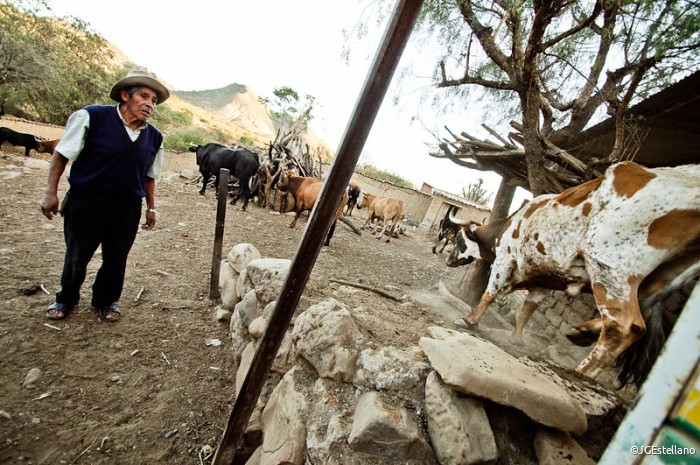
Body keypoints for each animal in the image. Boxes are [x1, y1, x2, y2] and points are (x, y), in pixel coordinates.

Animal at [446, 161, 700, 382]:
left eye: (459, 240)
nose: (448, 259)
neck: (515, 222)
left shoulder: (506, 259)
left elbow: (490, 293)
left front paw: (469, 320)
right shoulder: (542, 281)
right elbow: (526, 311)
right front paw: (516, 338)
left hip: (609, 271)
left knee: (624, 326)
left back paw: (580, 372)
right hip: (656, 281)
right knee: (638, 319)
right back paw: (583, 331)